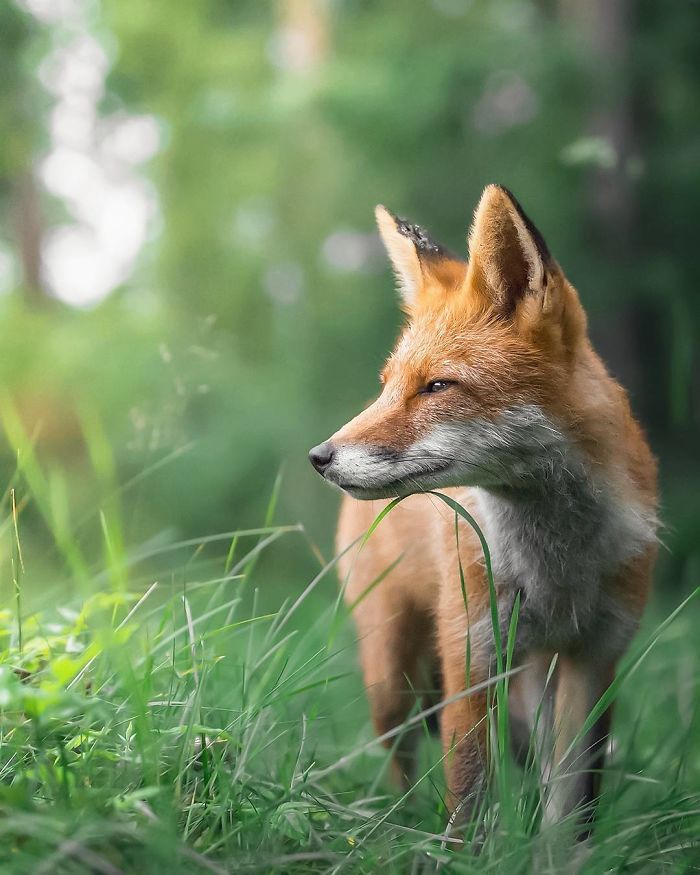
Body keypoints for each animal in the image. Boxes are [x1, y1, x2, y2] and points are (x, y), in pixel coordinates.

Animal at [308, 184, 658, 832]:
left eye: (437, 387)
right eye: (388, 385)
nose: (319, 457)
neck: (556, 568)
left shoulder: (595, 656)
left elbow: (571, 806)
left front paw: (556, 850)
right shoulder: (471, 653)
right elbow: (468, 796)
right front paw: (461, 847)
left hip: (532, 677)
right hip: (392, 672)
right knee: (399, 762)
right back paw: (396, 824)